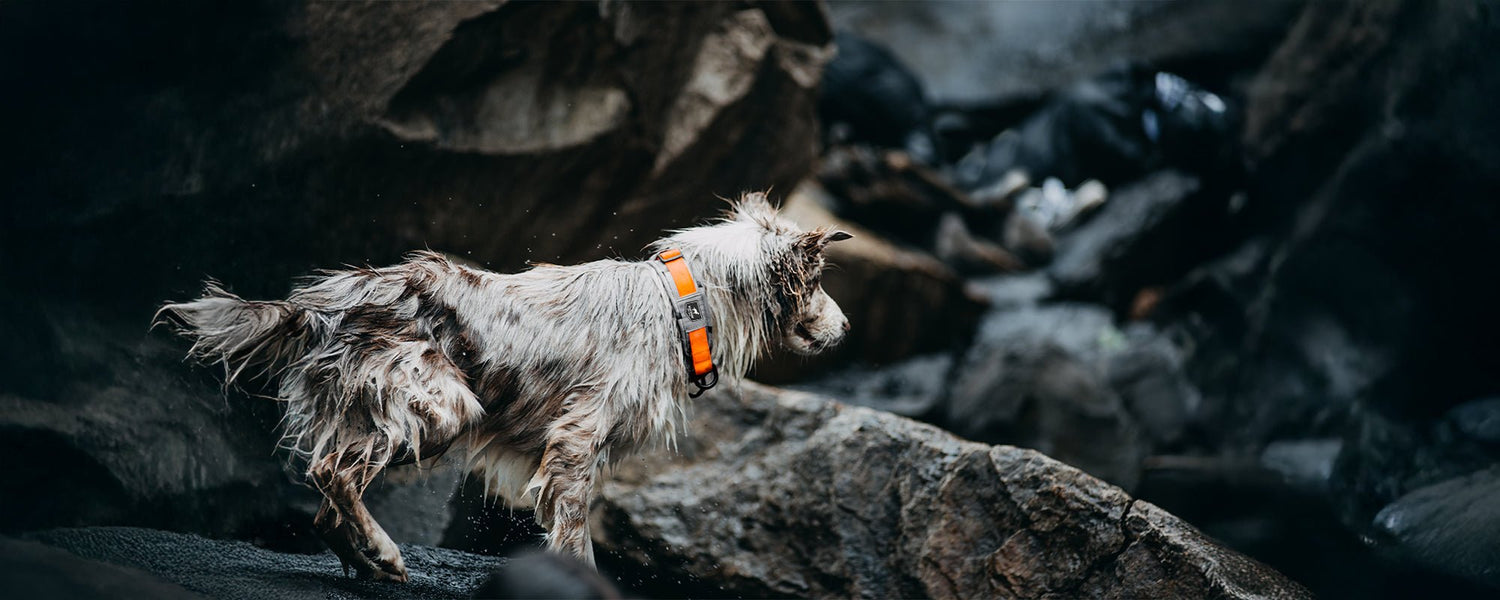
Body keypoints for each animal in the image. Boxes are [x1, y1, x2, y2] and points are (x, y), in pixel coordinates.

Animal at [159, 193, 858, 582]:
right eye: (821, 282)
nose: (848, 328)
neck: (680, 303)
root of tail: (327, 300)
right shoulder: (576, 444)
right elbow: (576, 539)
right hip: (438, 404)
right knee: (331, 475)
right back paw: (384, 553)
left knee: (328, 501)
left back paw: (364, 561)